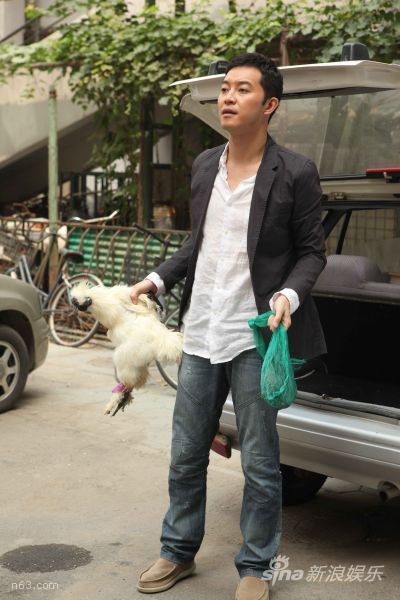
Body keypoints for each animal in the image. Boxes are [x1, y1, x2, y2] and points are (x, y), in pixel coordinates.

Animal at [71, 281, 183, 415]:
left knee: (128, 382)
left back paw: (117, 399)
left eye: (76, 302)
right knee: (136, 381)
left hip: (124, 356)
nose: (76, 309)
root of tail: (160, 337)